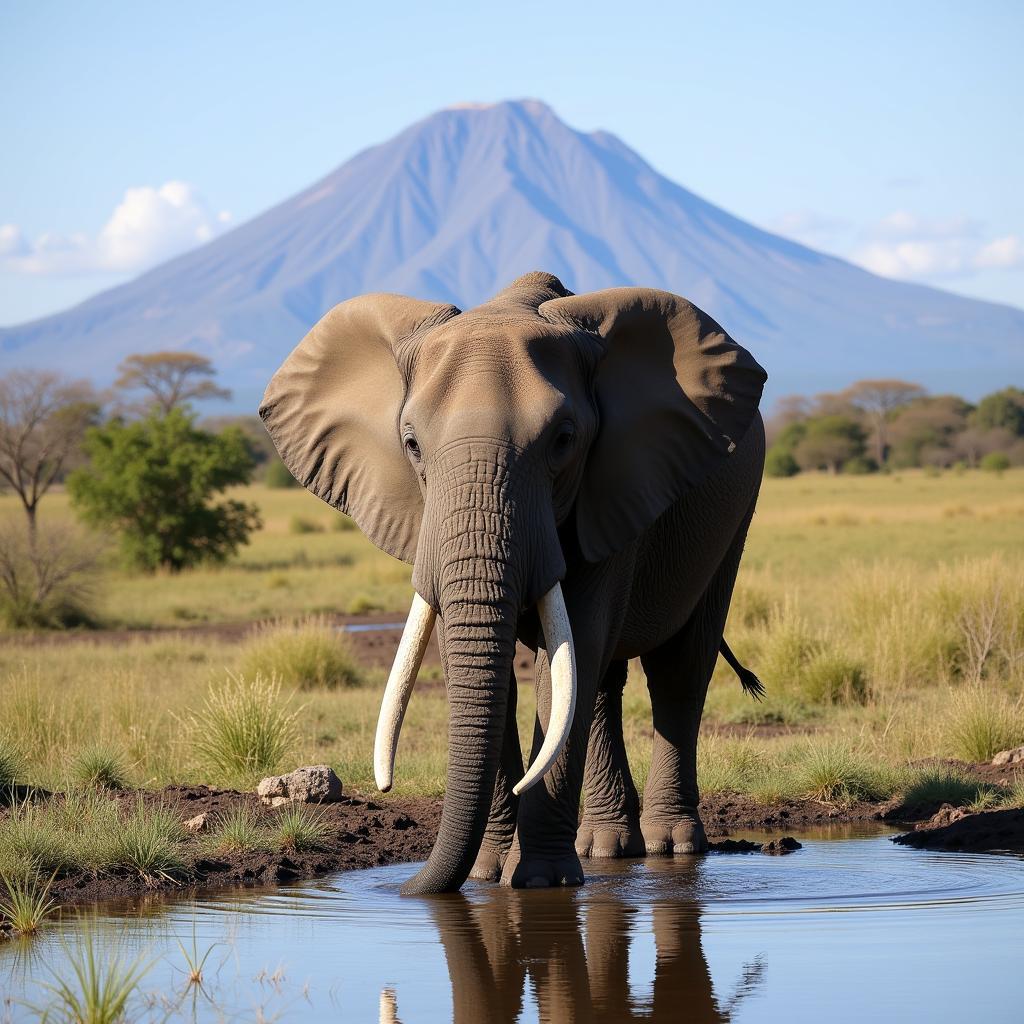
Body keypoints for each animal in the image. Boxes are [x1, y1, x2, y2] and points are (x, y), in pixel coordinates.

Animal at [260, 272, 765, 897]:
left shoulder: (613, 487)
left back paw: (669, 847)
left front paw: (539, 881)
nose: (404, 890)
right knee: (604, 681)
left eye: (564, 440)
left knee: (678, 667)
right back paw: (606, 849)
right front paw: (485, 875)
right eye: (411, 444)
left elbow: (570, 654)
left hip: (732, 516)